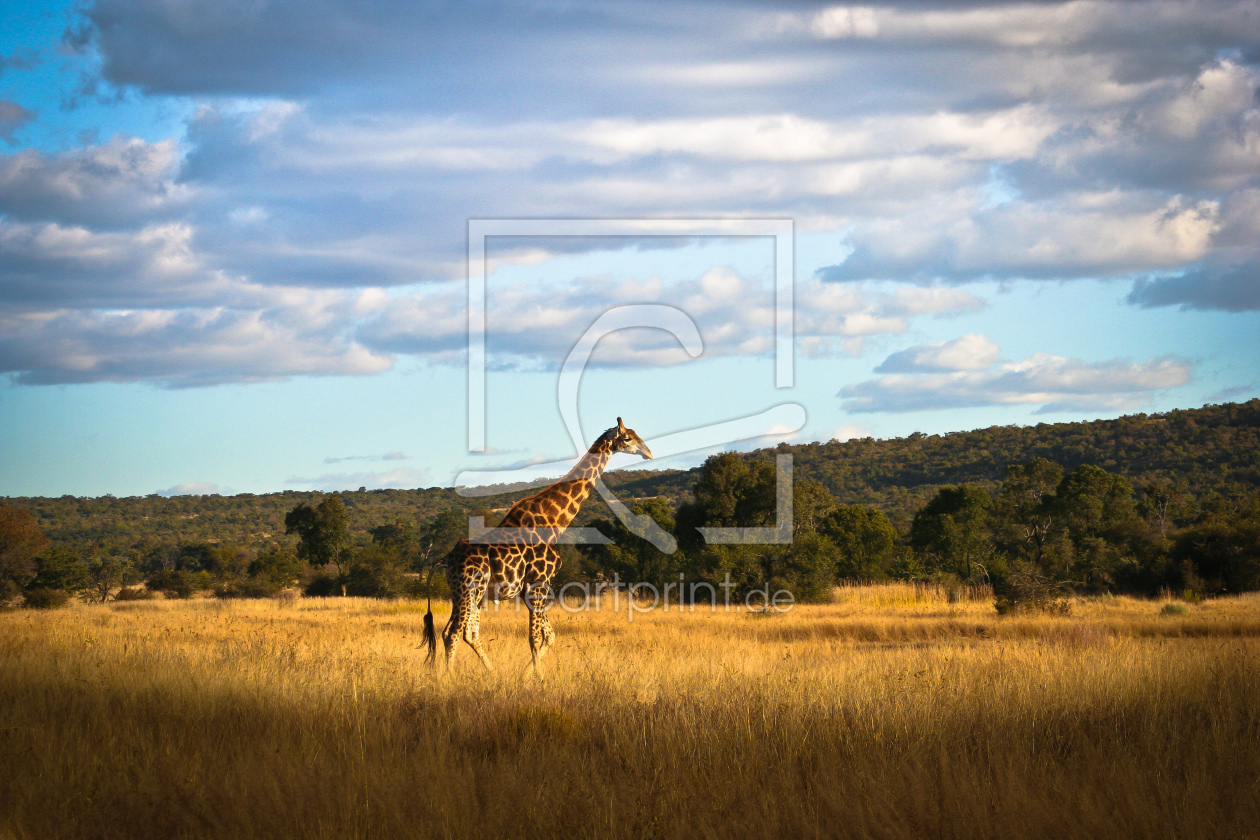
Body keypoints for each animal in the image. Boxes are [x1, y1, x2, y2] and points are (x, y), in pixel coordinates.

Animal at [428, 418, 655, 680]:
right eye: (627, 438)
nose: (649, 453)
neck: (555, 520)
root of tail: (446, 559)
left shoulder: (534, 586)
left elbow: (550, 635)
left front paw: (525, 675)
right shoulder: (539, 581)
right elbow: (536, 638)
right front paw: (539, 679)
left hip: (467, 591)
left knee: (463, 631)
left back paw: (491, 672)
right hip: (470, 587)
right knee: (455, 631)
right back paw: (449, 677)